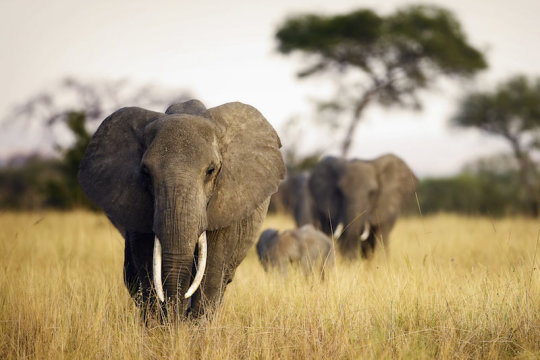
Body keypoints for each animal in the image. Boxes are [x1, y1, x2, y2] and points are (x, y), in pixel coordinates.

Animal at [79, 99, 286, 320]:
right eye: (146, 173)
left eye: (211, 171)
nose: (175, 319)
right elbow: (147, 265)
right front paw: (159, 326)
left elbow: (211, 271)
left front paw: (193, 328)